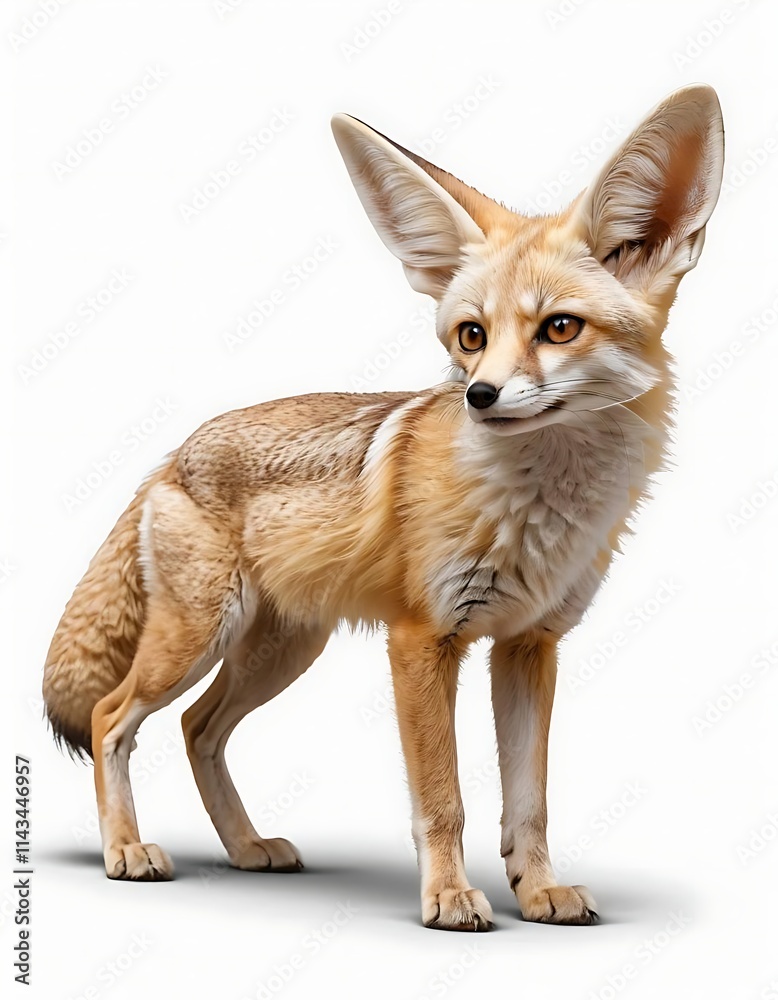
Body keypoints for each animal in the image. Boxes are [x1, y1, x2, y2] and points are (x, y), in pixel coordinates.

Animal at [43, 84, 724, 931]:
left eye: (559, 328)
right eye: (472, 336)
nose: (479, 396)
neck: (537, 513)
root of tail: (175, 453)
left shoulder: (528, 644)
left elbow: (528, 802)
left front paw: (537, 890)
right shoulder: (422, 641)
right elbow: (444, 800)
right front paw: (450, 898)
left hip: (281, 652)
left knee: (198, 728)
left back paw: (246, 847)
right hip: (197, 640)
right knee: (113, 717)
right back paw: (126, 851)